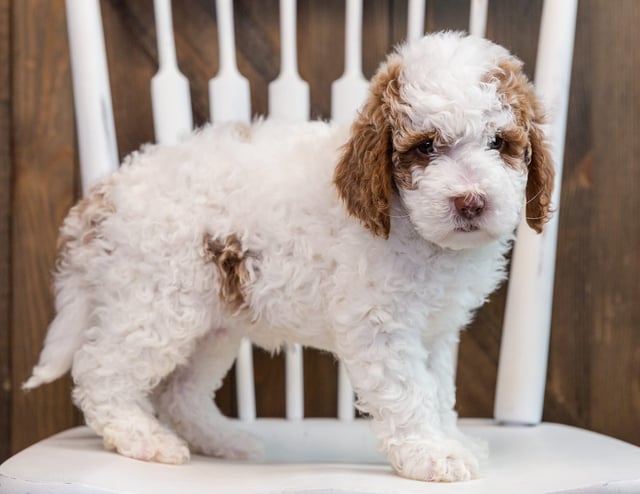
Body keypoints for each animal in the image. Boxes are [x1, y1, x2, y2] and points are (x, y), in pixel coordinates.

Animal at [25, 33, 552, 482]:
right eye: (425, 147)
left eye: (500, 143)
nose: (471, 202)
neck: (417, 232)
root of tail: (102, 195)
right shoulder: (379, 326)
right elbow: (409, 392)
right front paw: (432, 454)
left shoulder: (436, 333)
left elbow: (439, 390)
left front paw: (452, 440)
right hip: (155, 304)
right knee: (101, 372)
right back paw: (143, 438)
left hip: (212, 325)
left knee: (180, 392)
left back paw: (223, 441)